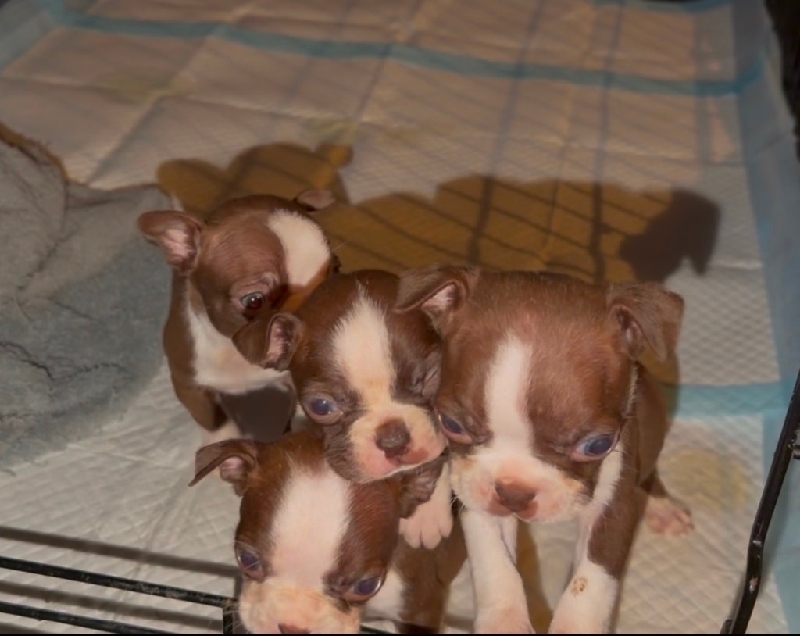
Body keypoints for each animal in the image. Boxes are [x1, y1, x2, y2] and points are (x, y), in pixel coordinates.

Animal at [394, 264, 694, 634]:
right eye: (451, 424)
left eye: (596, 444)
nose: (515, 493)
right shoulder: (477, 492)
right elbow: (494, 561)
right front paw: (503, 622)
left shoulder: (613, 503)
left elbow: (590, 582)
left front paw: (574, 626)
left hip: (653, 409)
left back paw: (663, 507)